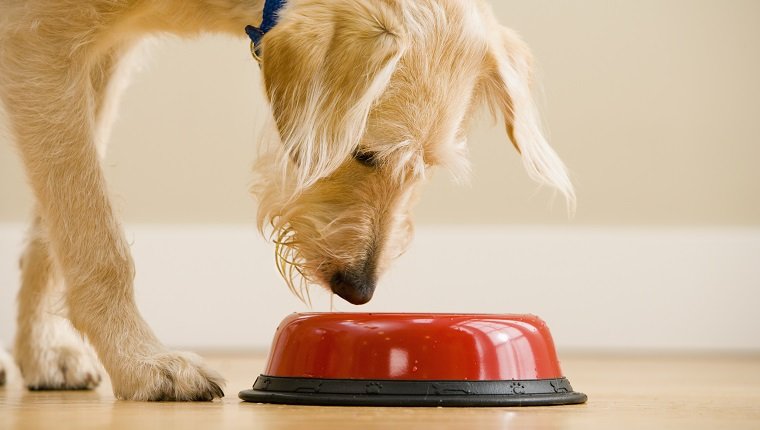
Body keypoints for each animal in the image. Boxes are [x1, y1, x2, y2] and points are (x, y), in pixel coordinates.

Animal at [0, 0, 568, 402]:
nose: (359, 290)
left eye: (426, 168)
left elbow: (54, 225)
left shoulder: (95, 60)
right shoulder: (40, 42)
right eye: (364, 153)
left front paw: (42, 352)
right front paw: (141, 363)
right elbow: (94, 230)